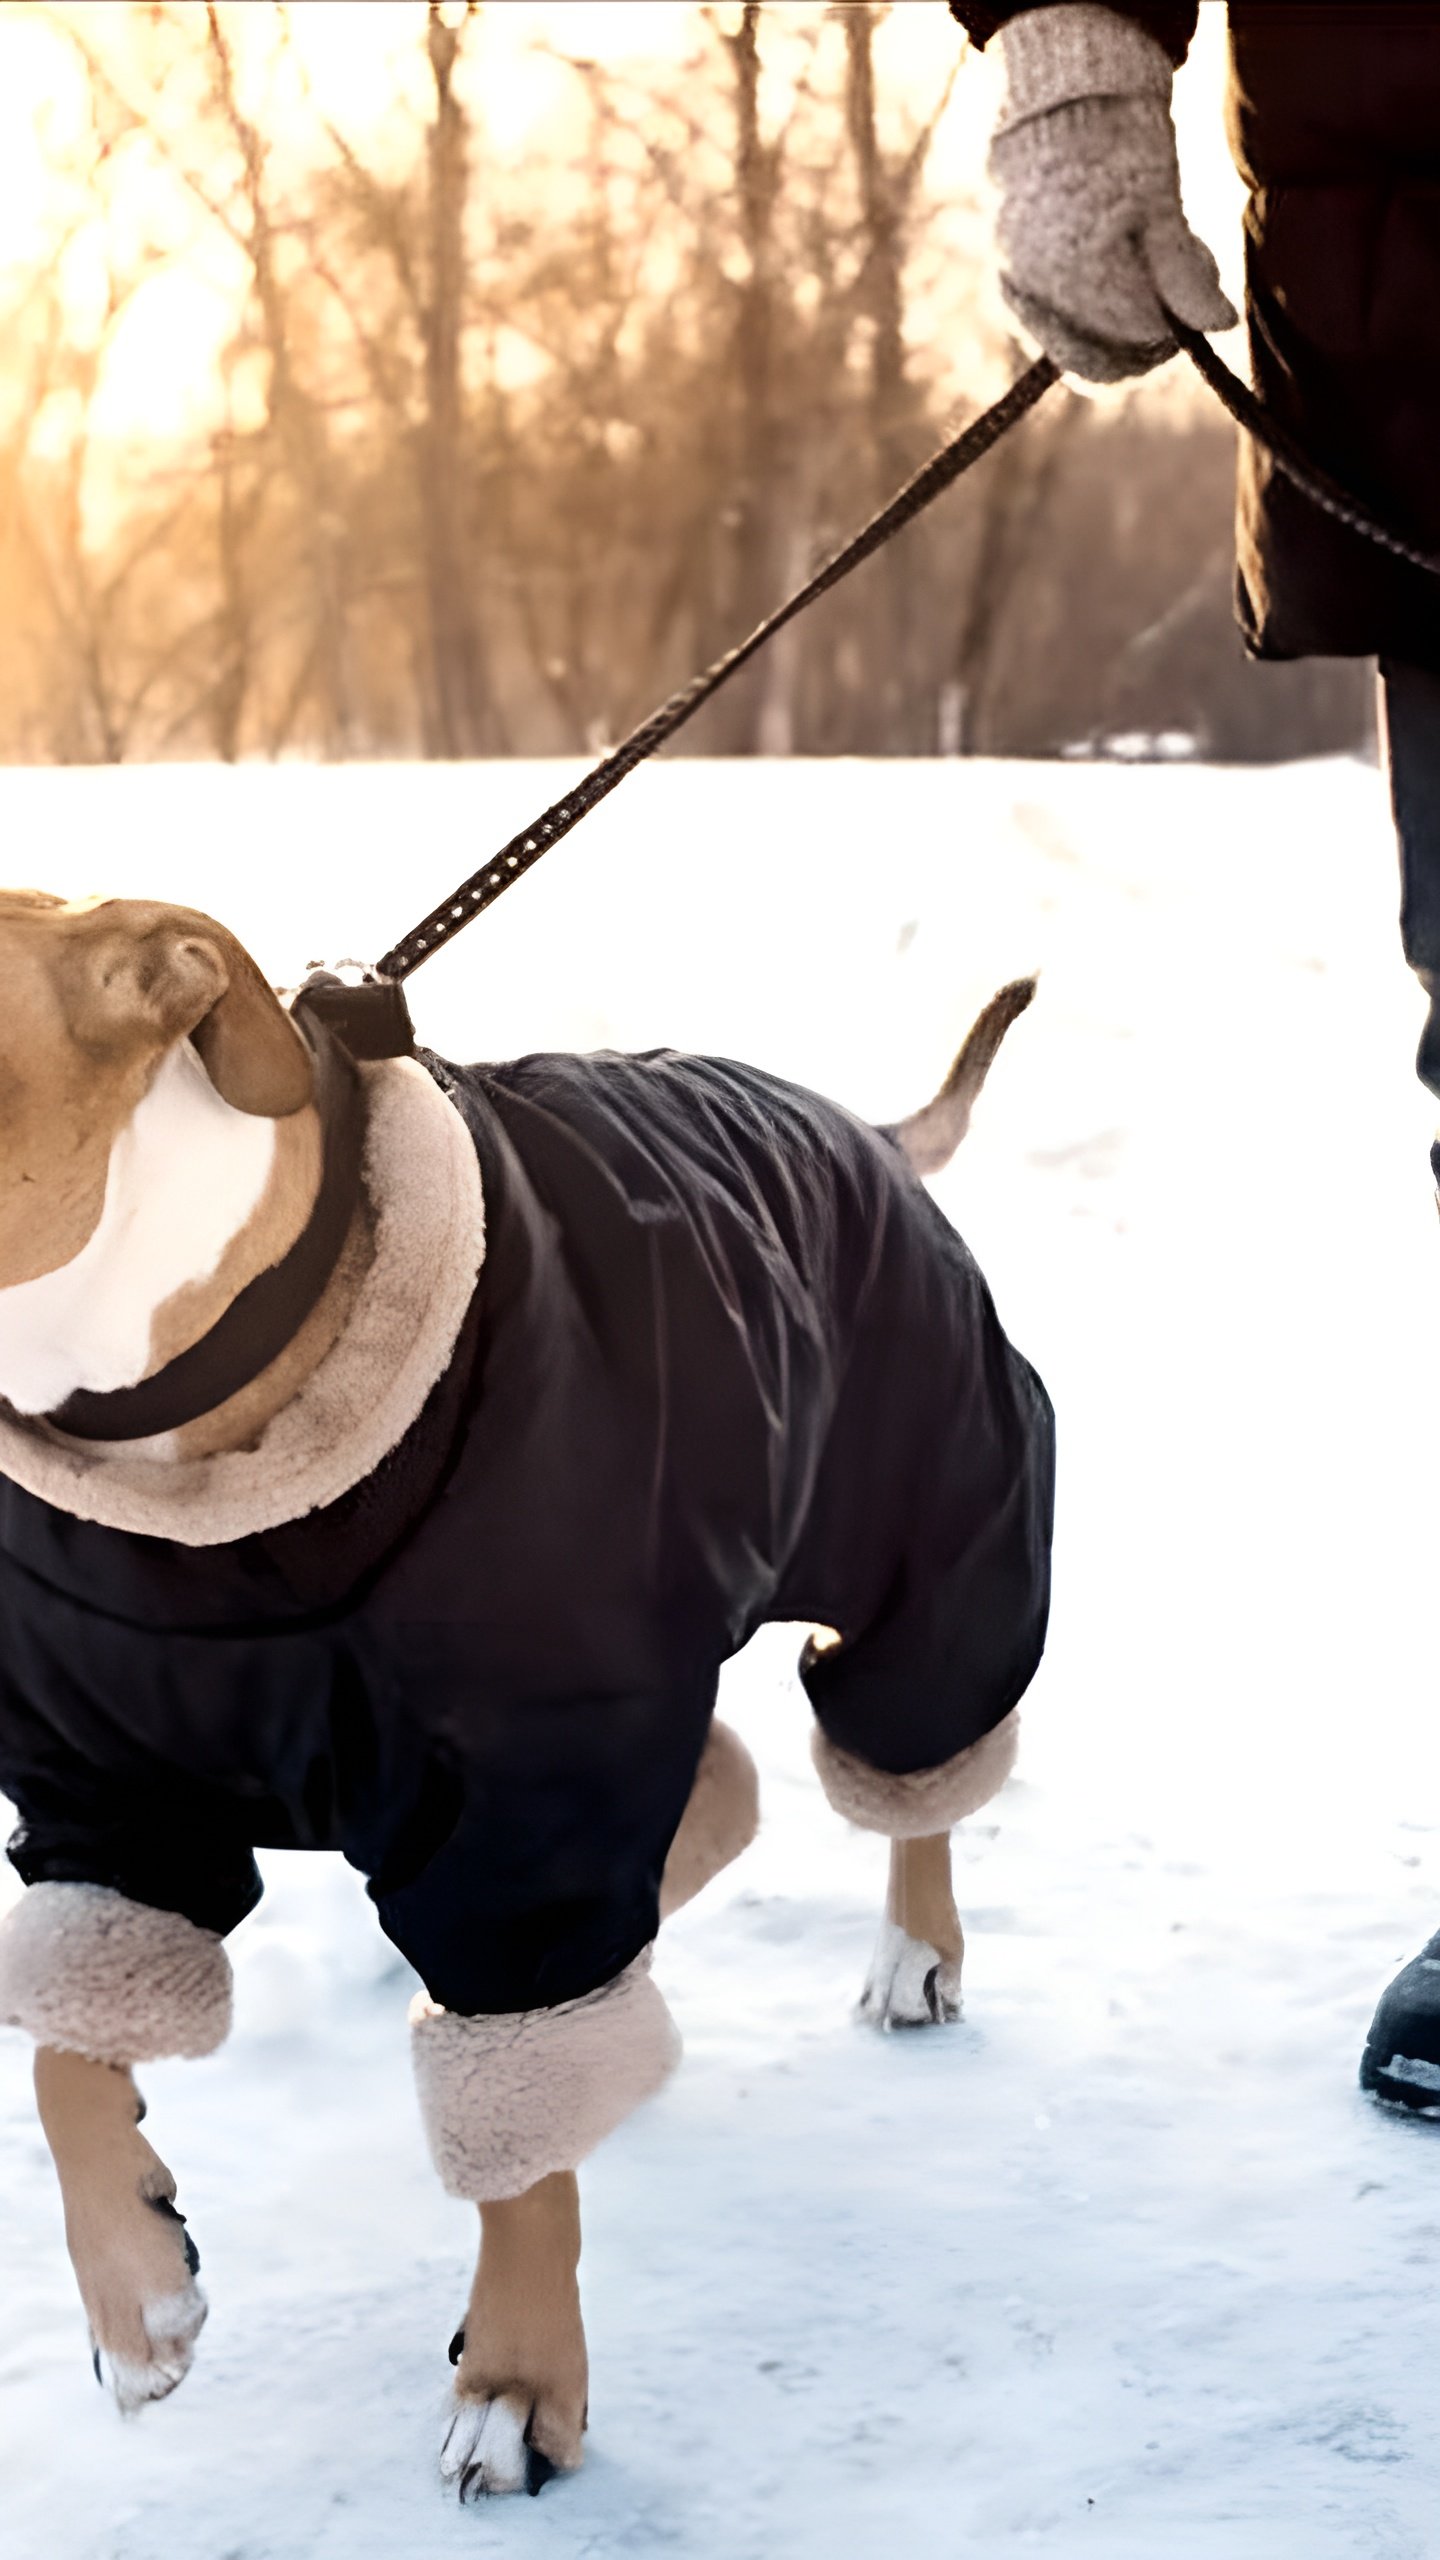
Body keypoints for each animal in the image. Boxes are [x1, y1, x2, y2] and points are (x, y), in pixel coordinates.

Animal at [0, 896, 1040, 2498]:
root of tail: (853, 1122)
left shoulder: (529, 1793)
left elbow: (522, 2137)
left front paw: (516, 2382)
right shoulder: (106, 1792)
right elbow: (68, 2049)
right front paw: (136, 2297)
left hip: (933, 1518)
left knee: (913, 1747)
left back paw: (916, 1953)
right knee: (720, 1788)